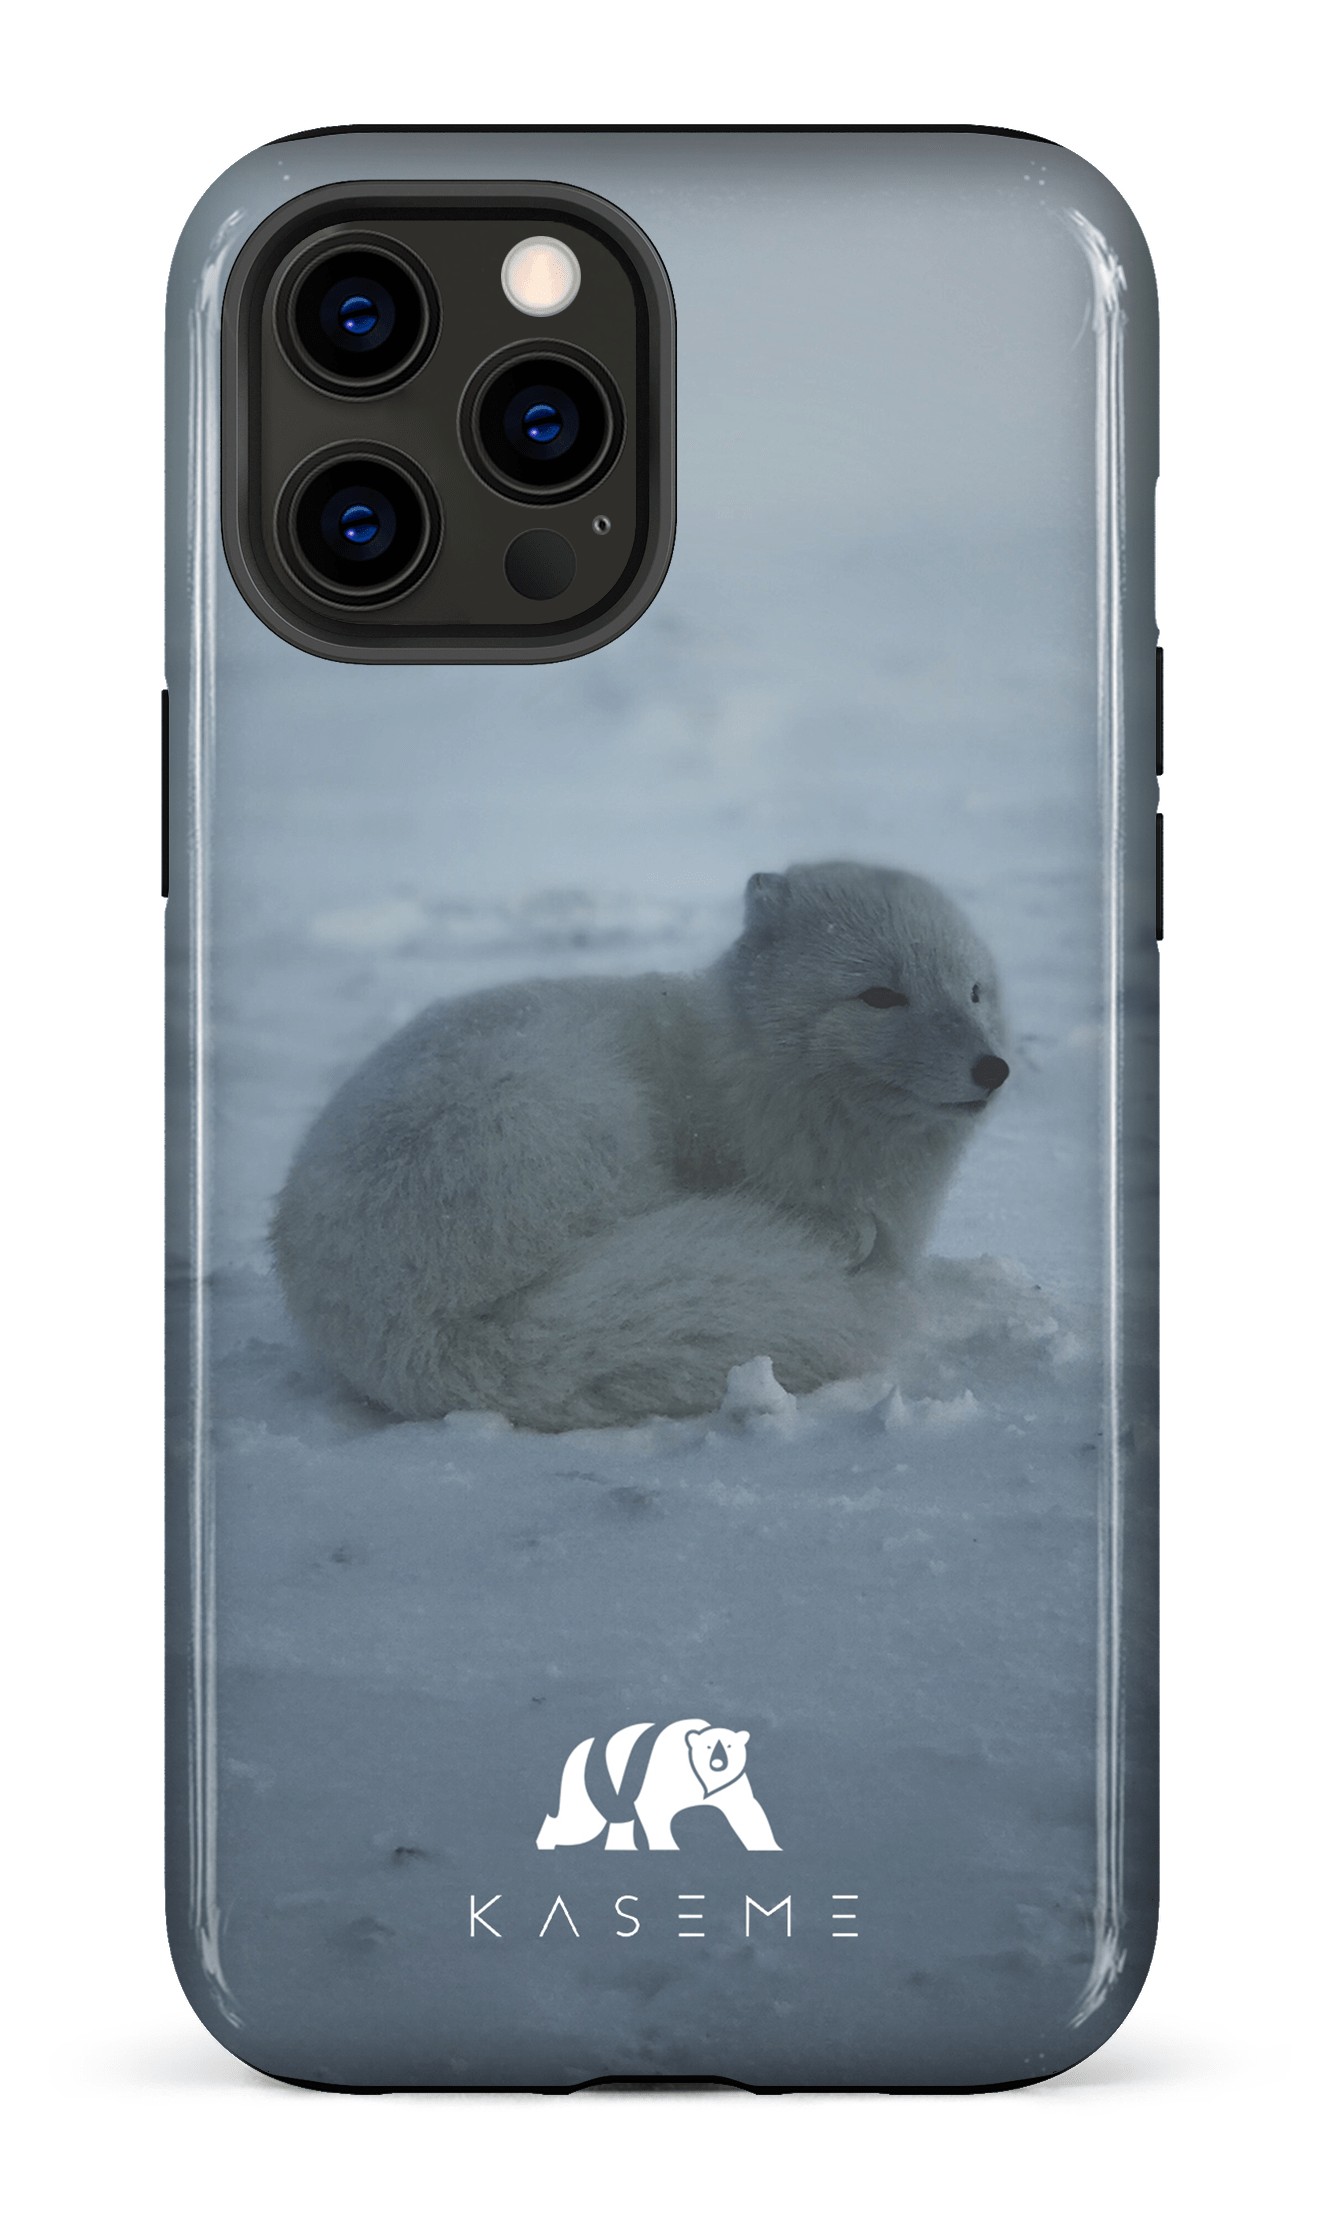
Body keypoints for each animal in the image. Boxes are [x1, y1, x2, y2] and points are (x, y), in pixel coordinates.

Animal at [272, 862, 1010, 1430]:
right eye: (880, 996)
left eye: (973, 991)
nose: (993, 1068)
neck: (752, 1070)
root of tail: (423, 1334)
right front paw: (843, 1235)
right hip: (567, 1115)